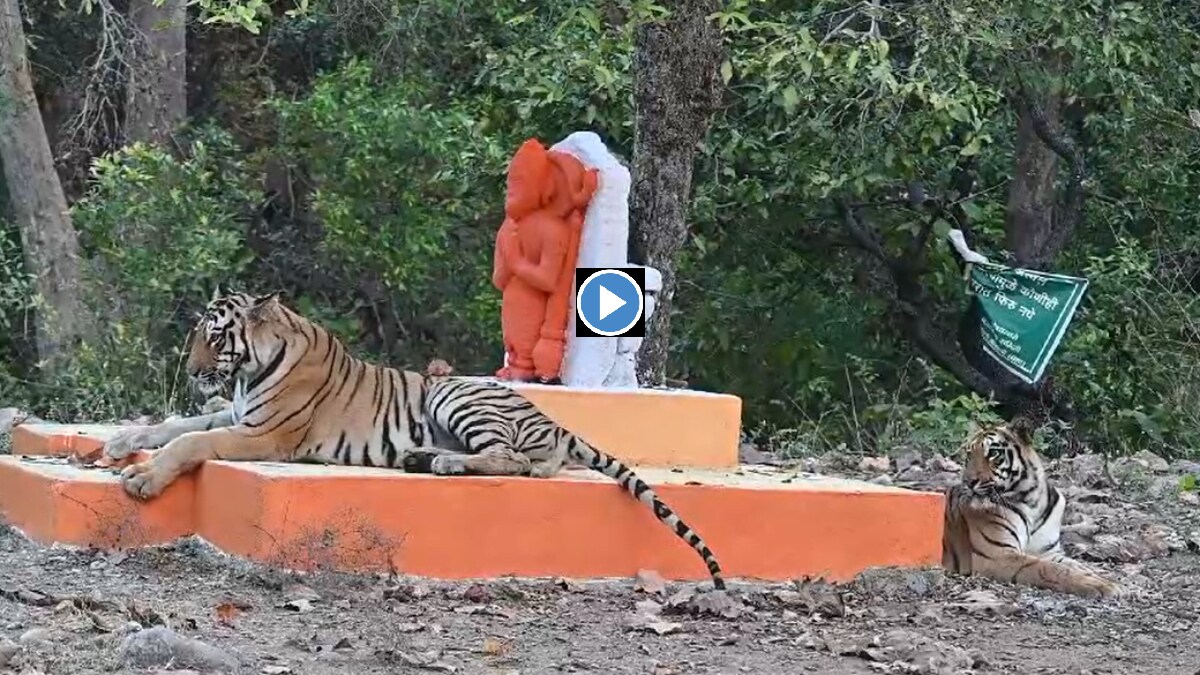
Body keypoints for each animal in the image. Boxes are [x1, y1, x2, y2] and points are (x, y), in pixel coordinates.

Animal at [102, 290, 727, 590]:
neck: (250, 369)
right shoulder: (234, 416)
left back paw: (444, 465)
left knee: (518, 461)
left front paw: (141, 478)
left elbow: (188, 445)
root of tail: (554, 420)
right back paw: (425, 458)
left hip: (453, 393)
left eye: (214, 338)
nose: (191, 372)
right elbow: (176, 426)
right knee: (529, 462)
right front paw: (121, 442)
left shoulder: (265, 435)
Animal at [941, 420, 1122, 599]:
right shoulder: (997, 554)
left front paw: (1103, 578)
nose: (968, 482)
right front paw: (1100, 585)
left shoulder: (1048, 553)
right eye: (969, 455)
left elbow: (1077, 565)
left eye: (993, 453)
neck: (1032, 501)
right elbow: (1050, 569)